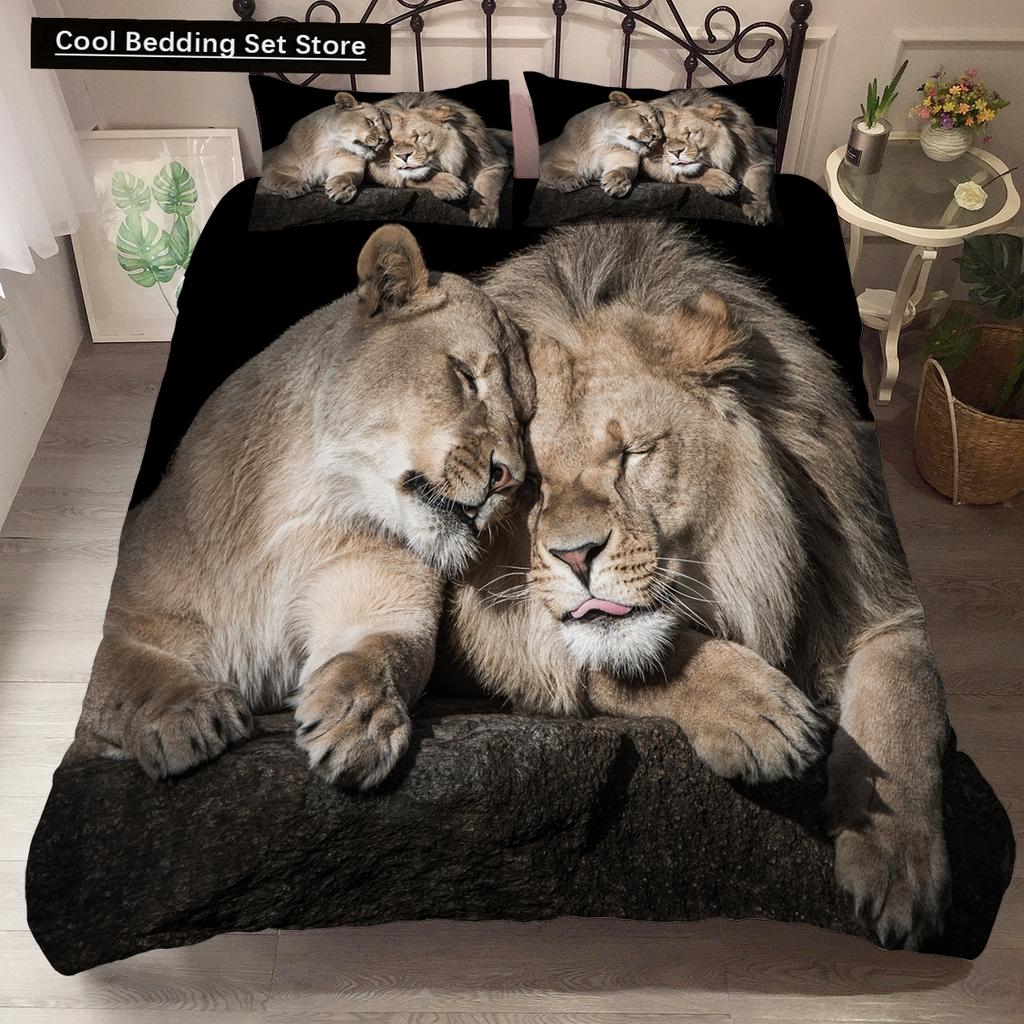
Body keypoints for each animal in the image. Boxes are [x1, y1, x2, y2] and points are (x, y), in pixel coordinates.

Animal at [76, 225, 533, 791]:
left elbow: (382, 654)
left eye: (526, 420)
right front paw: (185, 714)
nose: (511, 478)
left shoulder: (383, 602)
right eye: (467, 376)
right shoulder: (130, 615)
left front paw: (359, 720)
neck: (301, 509)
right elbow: (121, 671)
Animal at [257, 91, 391, 204]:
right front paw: (295, 186)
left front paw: (343, 188)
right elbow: (276, 177)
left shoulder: (347, 164)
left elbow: (349, 175)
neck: (326, 146)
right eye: (370, 122)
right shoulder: (272, 166)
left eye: (388, 129)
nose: (384, 140)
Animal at [367, 92, 511, 227]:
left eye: (418, 136)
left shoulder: (495, 159)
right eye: (390, 142)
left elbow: (489, 184)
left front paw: (483, 215)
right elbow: (419, 176)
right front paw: (451, 186)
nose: (403, 156)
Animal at [450, 220, 950, 950]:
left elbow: (907, 697)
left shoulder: (879, 594)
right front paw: (759, 712)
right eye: (527, 479)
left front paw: (898, 866)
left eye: (632, 453)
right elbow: (609, 661)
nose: (576, 556)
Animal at [642, 89, 775, 224]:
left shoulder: (760, 157)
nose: (676, 152)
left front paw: (758, 210)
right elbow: (692, 171)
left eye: (691, 133)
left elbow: (759, 180)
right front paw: (722, 182)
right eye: (664, 139)